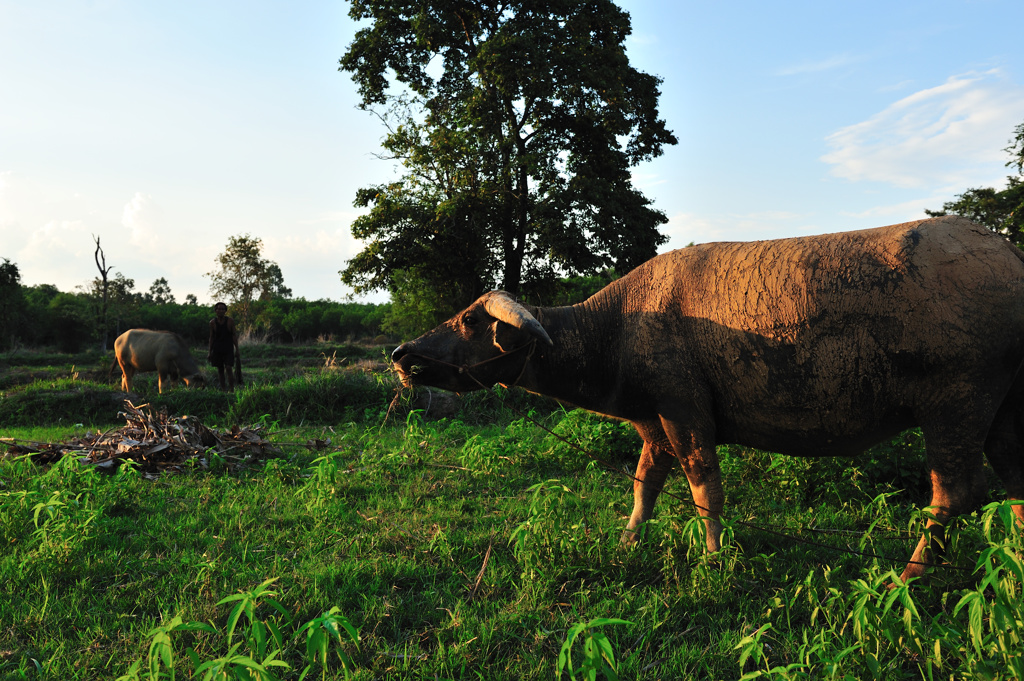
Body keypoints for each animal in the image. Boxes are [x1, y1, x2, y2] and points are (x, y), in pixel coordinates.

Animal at [393, 216, 1024, 577]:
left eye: (471, 321)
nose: (403, 354)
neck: (620, 327)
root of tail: (1009, 256)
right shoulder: (651, 422)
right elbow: (646, 483)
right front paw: (628, 539)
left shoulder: (686, 411)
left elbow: (704, 487)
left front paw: (714, 555)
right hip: (1004, 412)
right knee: (1015, 486)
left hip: (957, 405)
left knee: (955, 493)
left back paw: (912, 574)